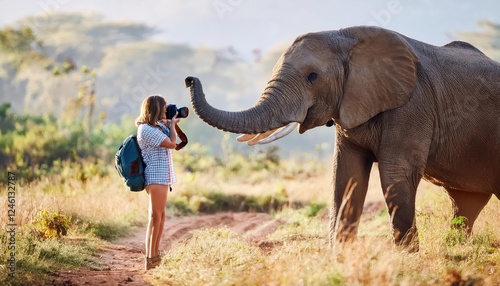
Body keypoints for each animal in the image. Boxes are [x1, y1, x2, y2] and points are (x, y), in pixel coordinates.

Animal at [185, 26, 500, 250]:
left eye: (312, 77)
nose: (189, 79)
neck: (345, 38)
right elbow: (346, 176)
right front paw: (340, 257)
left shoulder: (412, 105)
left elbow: (395, 175)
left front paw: (407, 261)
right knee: (466, 203)